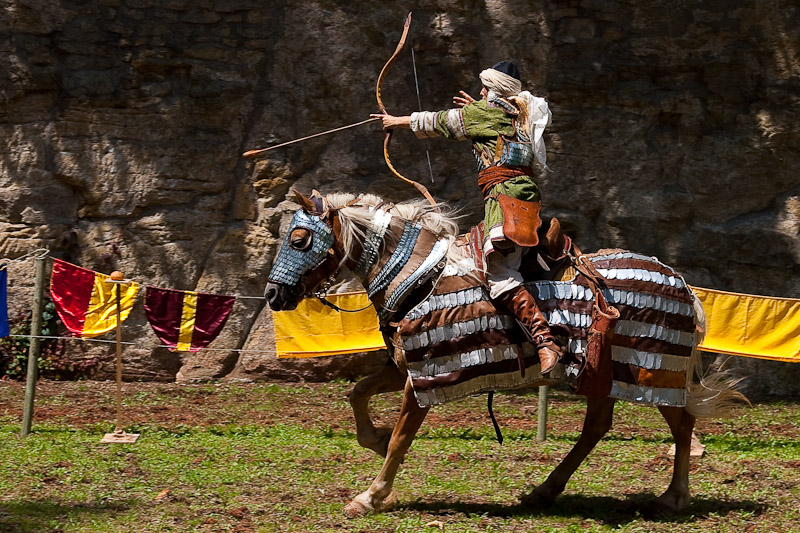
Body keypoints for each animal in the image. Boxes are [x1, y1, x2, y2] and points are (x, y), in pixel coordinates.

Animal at [264, 190, 744, 516]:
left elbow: (401, 438)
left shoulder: (426, 375)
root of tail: (682, 283)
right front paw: (374, 440)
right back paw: (545, 490)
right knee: (598, 428)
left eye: (300, 239)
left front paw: (370, 495)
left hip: (653, 369)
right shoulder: (402, 368)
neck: (418, 276)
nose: (272, 294)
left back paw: (674, 497)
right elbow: (358, 394)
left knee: (681, 425)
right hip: (606, 372)